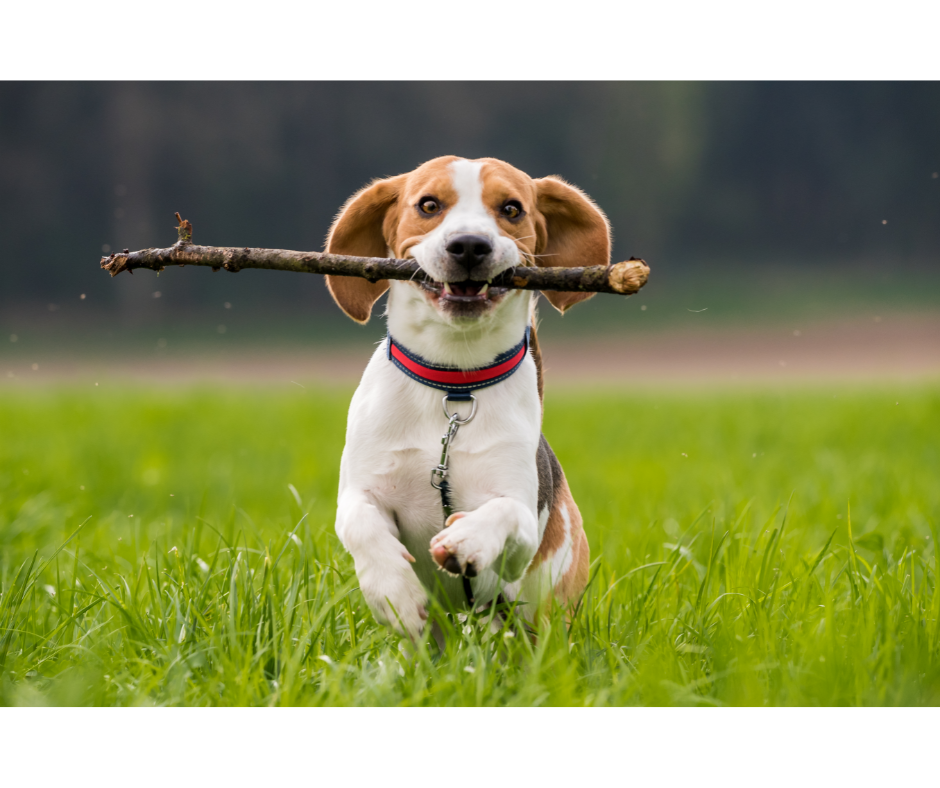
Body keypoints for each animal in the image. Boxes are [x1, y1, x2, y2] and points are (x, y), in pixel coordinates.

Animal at [326, 155, 612, 640]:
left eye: (512, 209)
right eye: (428, 205)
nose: (469, 245)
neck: (454, 388)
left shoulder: (520, 525)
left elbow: (504, 514)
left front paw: (466, 540)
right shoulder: (360, 490)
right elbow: (361, 523)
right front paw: (395, 594)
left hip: (544, 611)